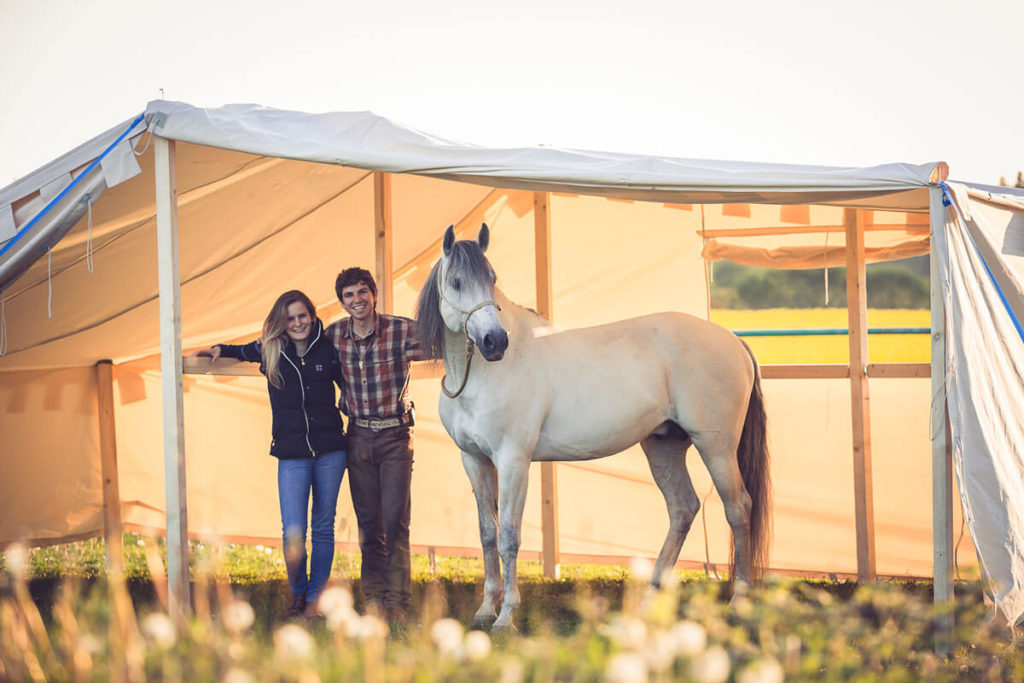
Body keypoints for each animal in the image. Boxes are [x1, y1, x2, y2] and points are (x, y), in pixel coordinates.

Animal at [415, 223, 771, 631]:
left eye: (492, 279)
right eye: (456, 282)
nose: (495, 341)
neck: (482, 376)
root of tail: (733, 341)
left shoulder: (512, 461)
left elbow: (508, 536)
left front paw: (506, 616)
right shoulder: (473, 460)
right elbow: (487, 534)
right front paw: (485, 609)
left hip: (717, 448)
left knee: (738, 509)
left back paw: (738, 602)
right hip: (663, 447)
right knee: (683, 508)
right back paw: (649, 600)